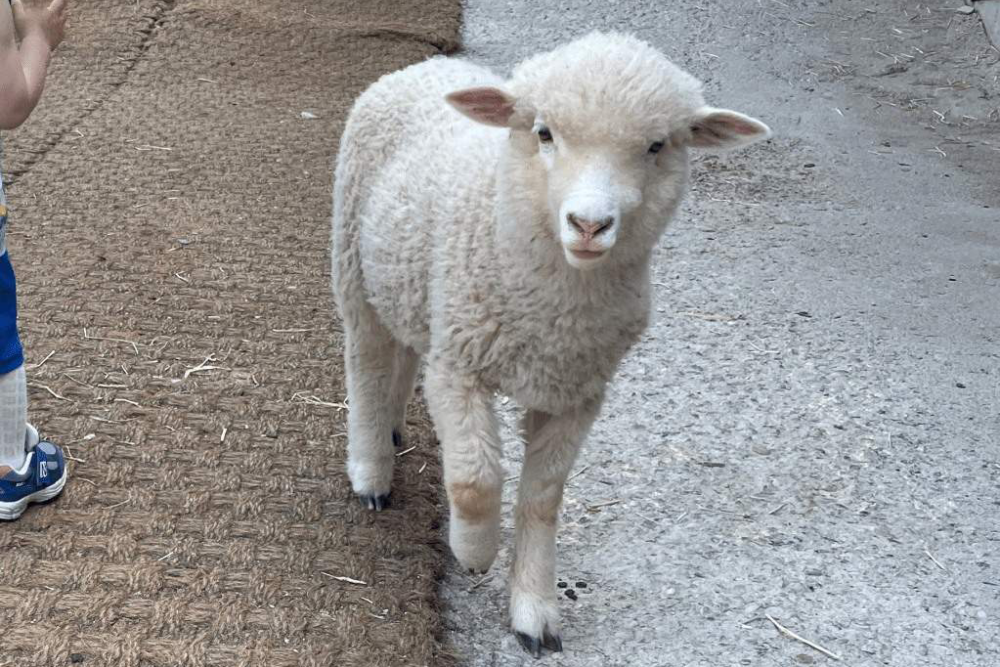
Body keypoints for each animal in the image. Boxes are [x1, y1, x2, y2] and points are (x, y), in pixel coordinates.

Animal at [330, 31, 770, 656]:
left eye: (657, 145)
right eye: (543, 133)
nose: (589, 225)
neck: (551, 314)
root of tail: (426, 67)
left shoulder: (577, 394)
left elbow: (542, 499)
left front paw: (533, 609)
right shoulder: (459, 365)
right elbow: (474, 480)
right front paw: (474, 551)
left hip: (409, 277)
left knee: (406, 349)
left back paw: (391, 428)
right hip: (351, 259)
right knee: (366, 358)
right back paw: (371, 470)